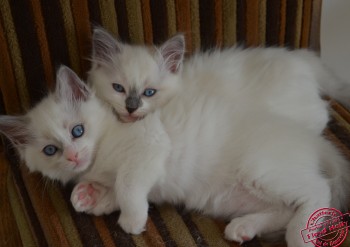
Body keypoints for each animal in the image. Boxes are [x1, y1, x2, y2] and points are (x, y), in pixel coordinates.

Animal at [0, 64, 348, 246]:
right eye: (50, 150)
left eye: (77, 131)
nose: (73, 157)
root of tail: (311, 140)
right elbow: (120, 191)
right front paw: (89, 197)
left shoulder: (150, 145)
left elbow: (127, 186)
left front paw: (131, 220)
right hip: (232, 197)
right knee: (284, 208)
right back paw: (245, 226)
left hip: (260, 169)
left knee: (318, 191)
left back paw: (299, 236)